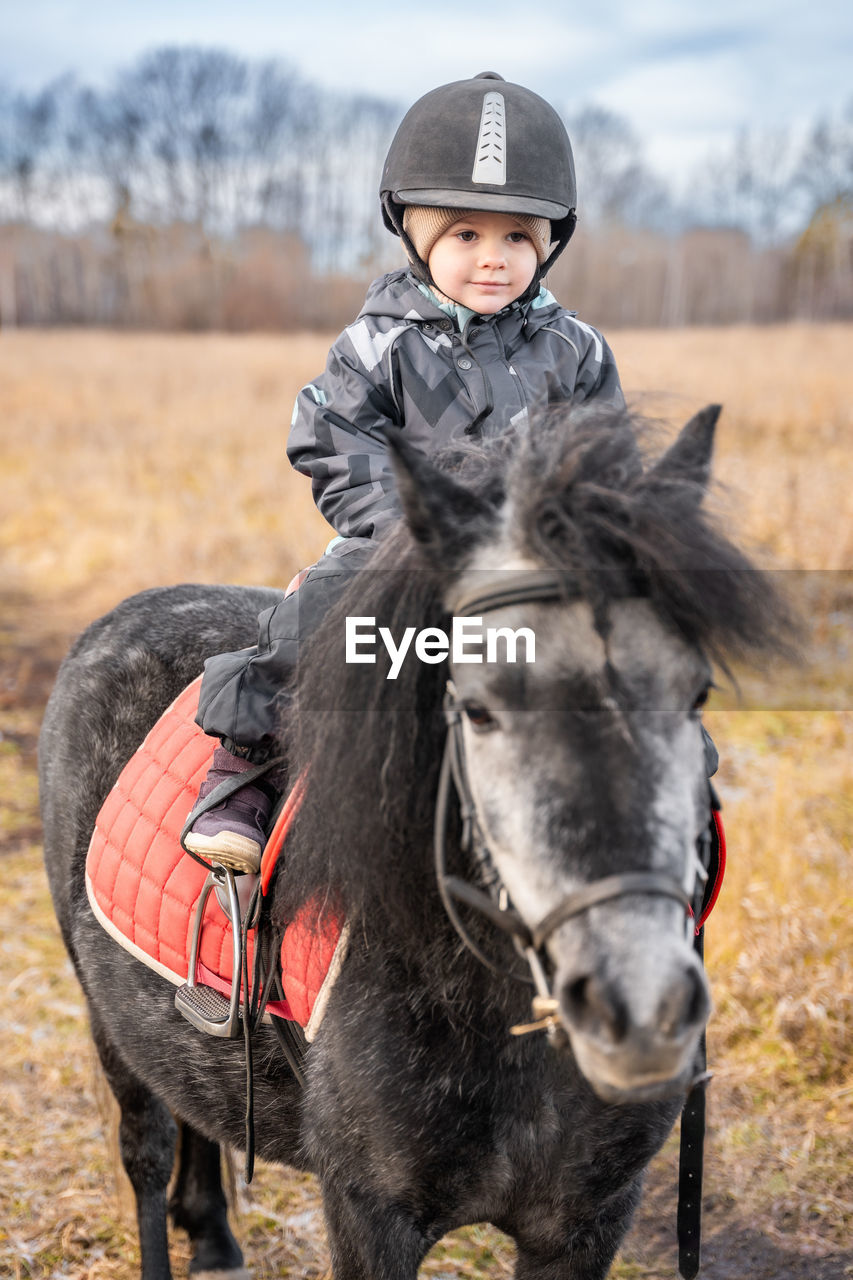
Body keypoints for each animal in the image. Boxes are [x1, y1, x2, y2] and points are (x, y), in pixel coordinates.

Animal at [38, 407, 783, 1280]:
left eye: (693, 693)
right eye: (480, 708)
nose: (639, 1006)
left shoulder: (586, 1222)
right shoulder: (369, 1214)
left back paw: (216, 1238)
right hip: (106, 1021)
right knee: (148, 1150)